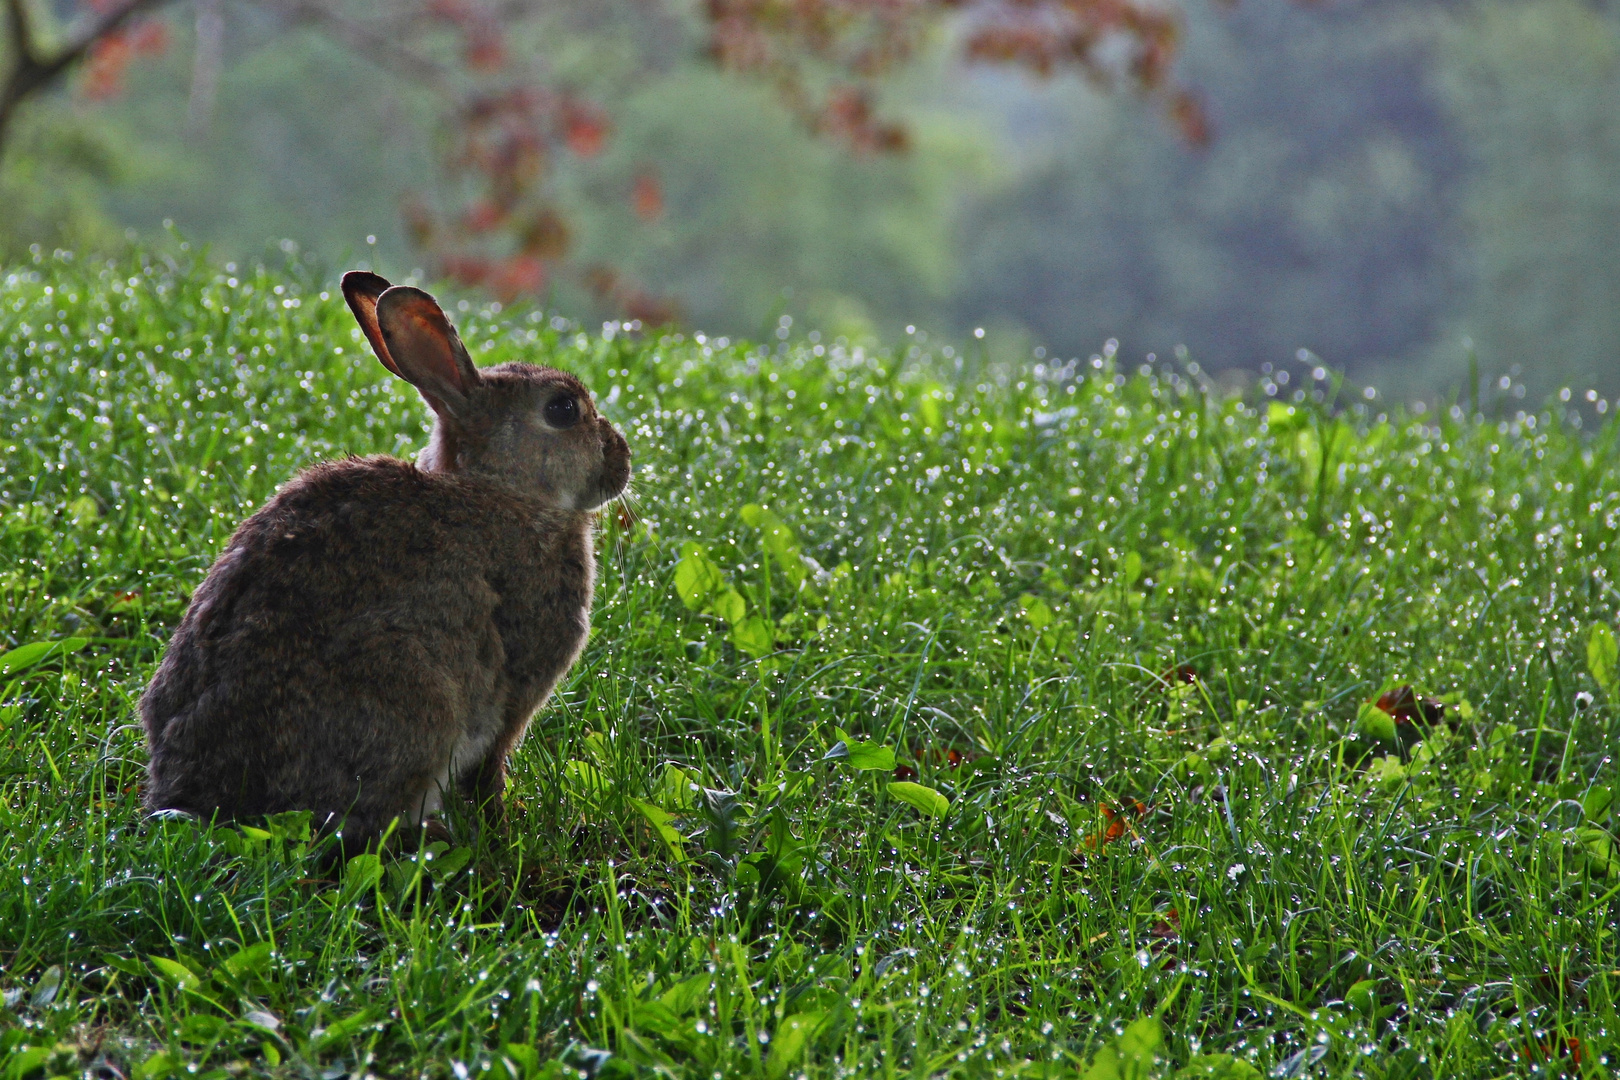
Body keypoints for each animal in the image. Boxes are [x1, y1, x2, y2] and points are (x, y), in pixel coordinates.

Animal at [137, 272, 625, 854]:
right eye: (563, 410)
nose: (622, 457)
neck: (505, 492)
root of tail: (195, 792)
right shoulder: (514, 693)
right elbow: (489, 773)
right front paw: (505, 830)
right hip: (412, 692)